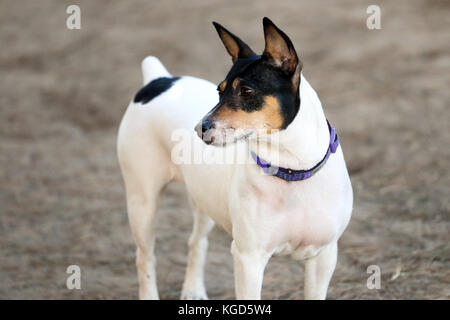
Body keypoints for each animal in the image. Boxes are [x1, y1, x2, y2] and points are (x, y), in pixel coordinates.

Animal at [118, 17, 354, 300]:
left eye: (247, 91)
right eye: (219, 91)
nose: (199, 128)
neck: (291, 171)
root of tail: (158, 80)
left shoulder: (324, 257)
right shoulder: (248, 259)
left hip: (203, 199)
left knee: (196, 241)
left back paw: (193, 290)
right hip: (142, 202)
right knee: (144, 257)